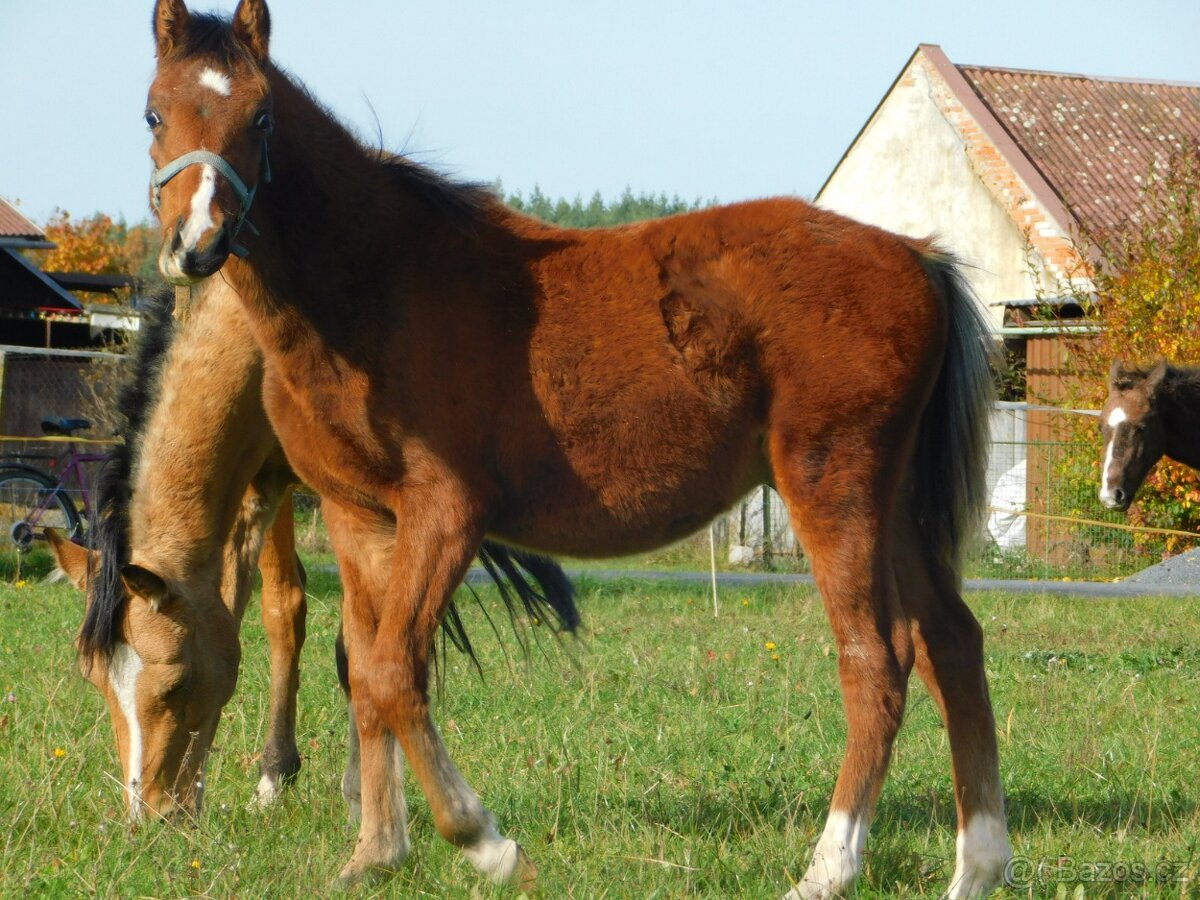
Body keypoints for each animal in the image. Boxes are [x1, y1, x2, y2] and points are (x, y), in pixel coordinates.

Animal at [53, 276, 578, 824]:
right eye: (94, 680)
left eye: (174, 684)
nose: (150, 814)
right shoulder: (257, 485)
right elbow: (276, 611)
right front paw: (267, 777)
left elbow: (358, 642)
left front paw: (363, 794)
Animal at [142, 1, 1009, 896]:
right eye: (153, 114)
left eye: (261, 118)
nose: (196, 245)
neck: (373, 285)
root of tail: (915, 256)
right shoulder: (359, 515)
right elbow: (368, 675)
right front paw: (376, 850)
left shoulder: (447, 513)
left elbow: (391, 671)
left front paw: (484, 842)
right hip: (895, 501)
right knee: (951, 643)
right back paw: (977, 866)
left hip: (833, 483)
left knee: (878, 658)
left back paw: (830, 866)